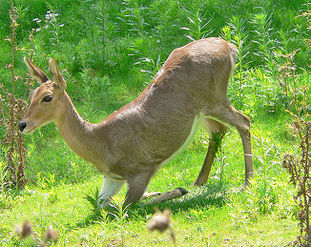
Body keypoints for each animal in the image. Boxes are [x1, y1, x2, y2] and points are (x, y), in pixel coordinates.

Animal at [19, 37, 254, 206]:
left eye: (47, 97)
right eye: (30, 95)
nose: (22, 124)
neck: (100, 144)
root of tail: (229, 47)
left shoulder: (140, 169)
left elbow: (129, 205)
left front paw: (175, 191)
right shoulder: (113, 178)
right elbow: (101, 204)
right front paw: (161, 191)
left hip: (215, 97)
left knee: (244, 121)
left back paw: (247, 182)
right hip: (201, 112)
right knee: (219, 129)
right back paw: (200, 180)